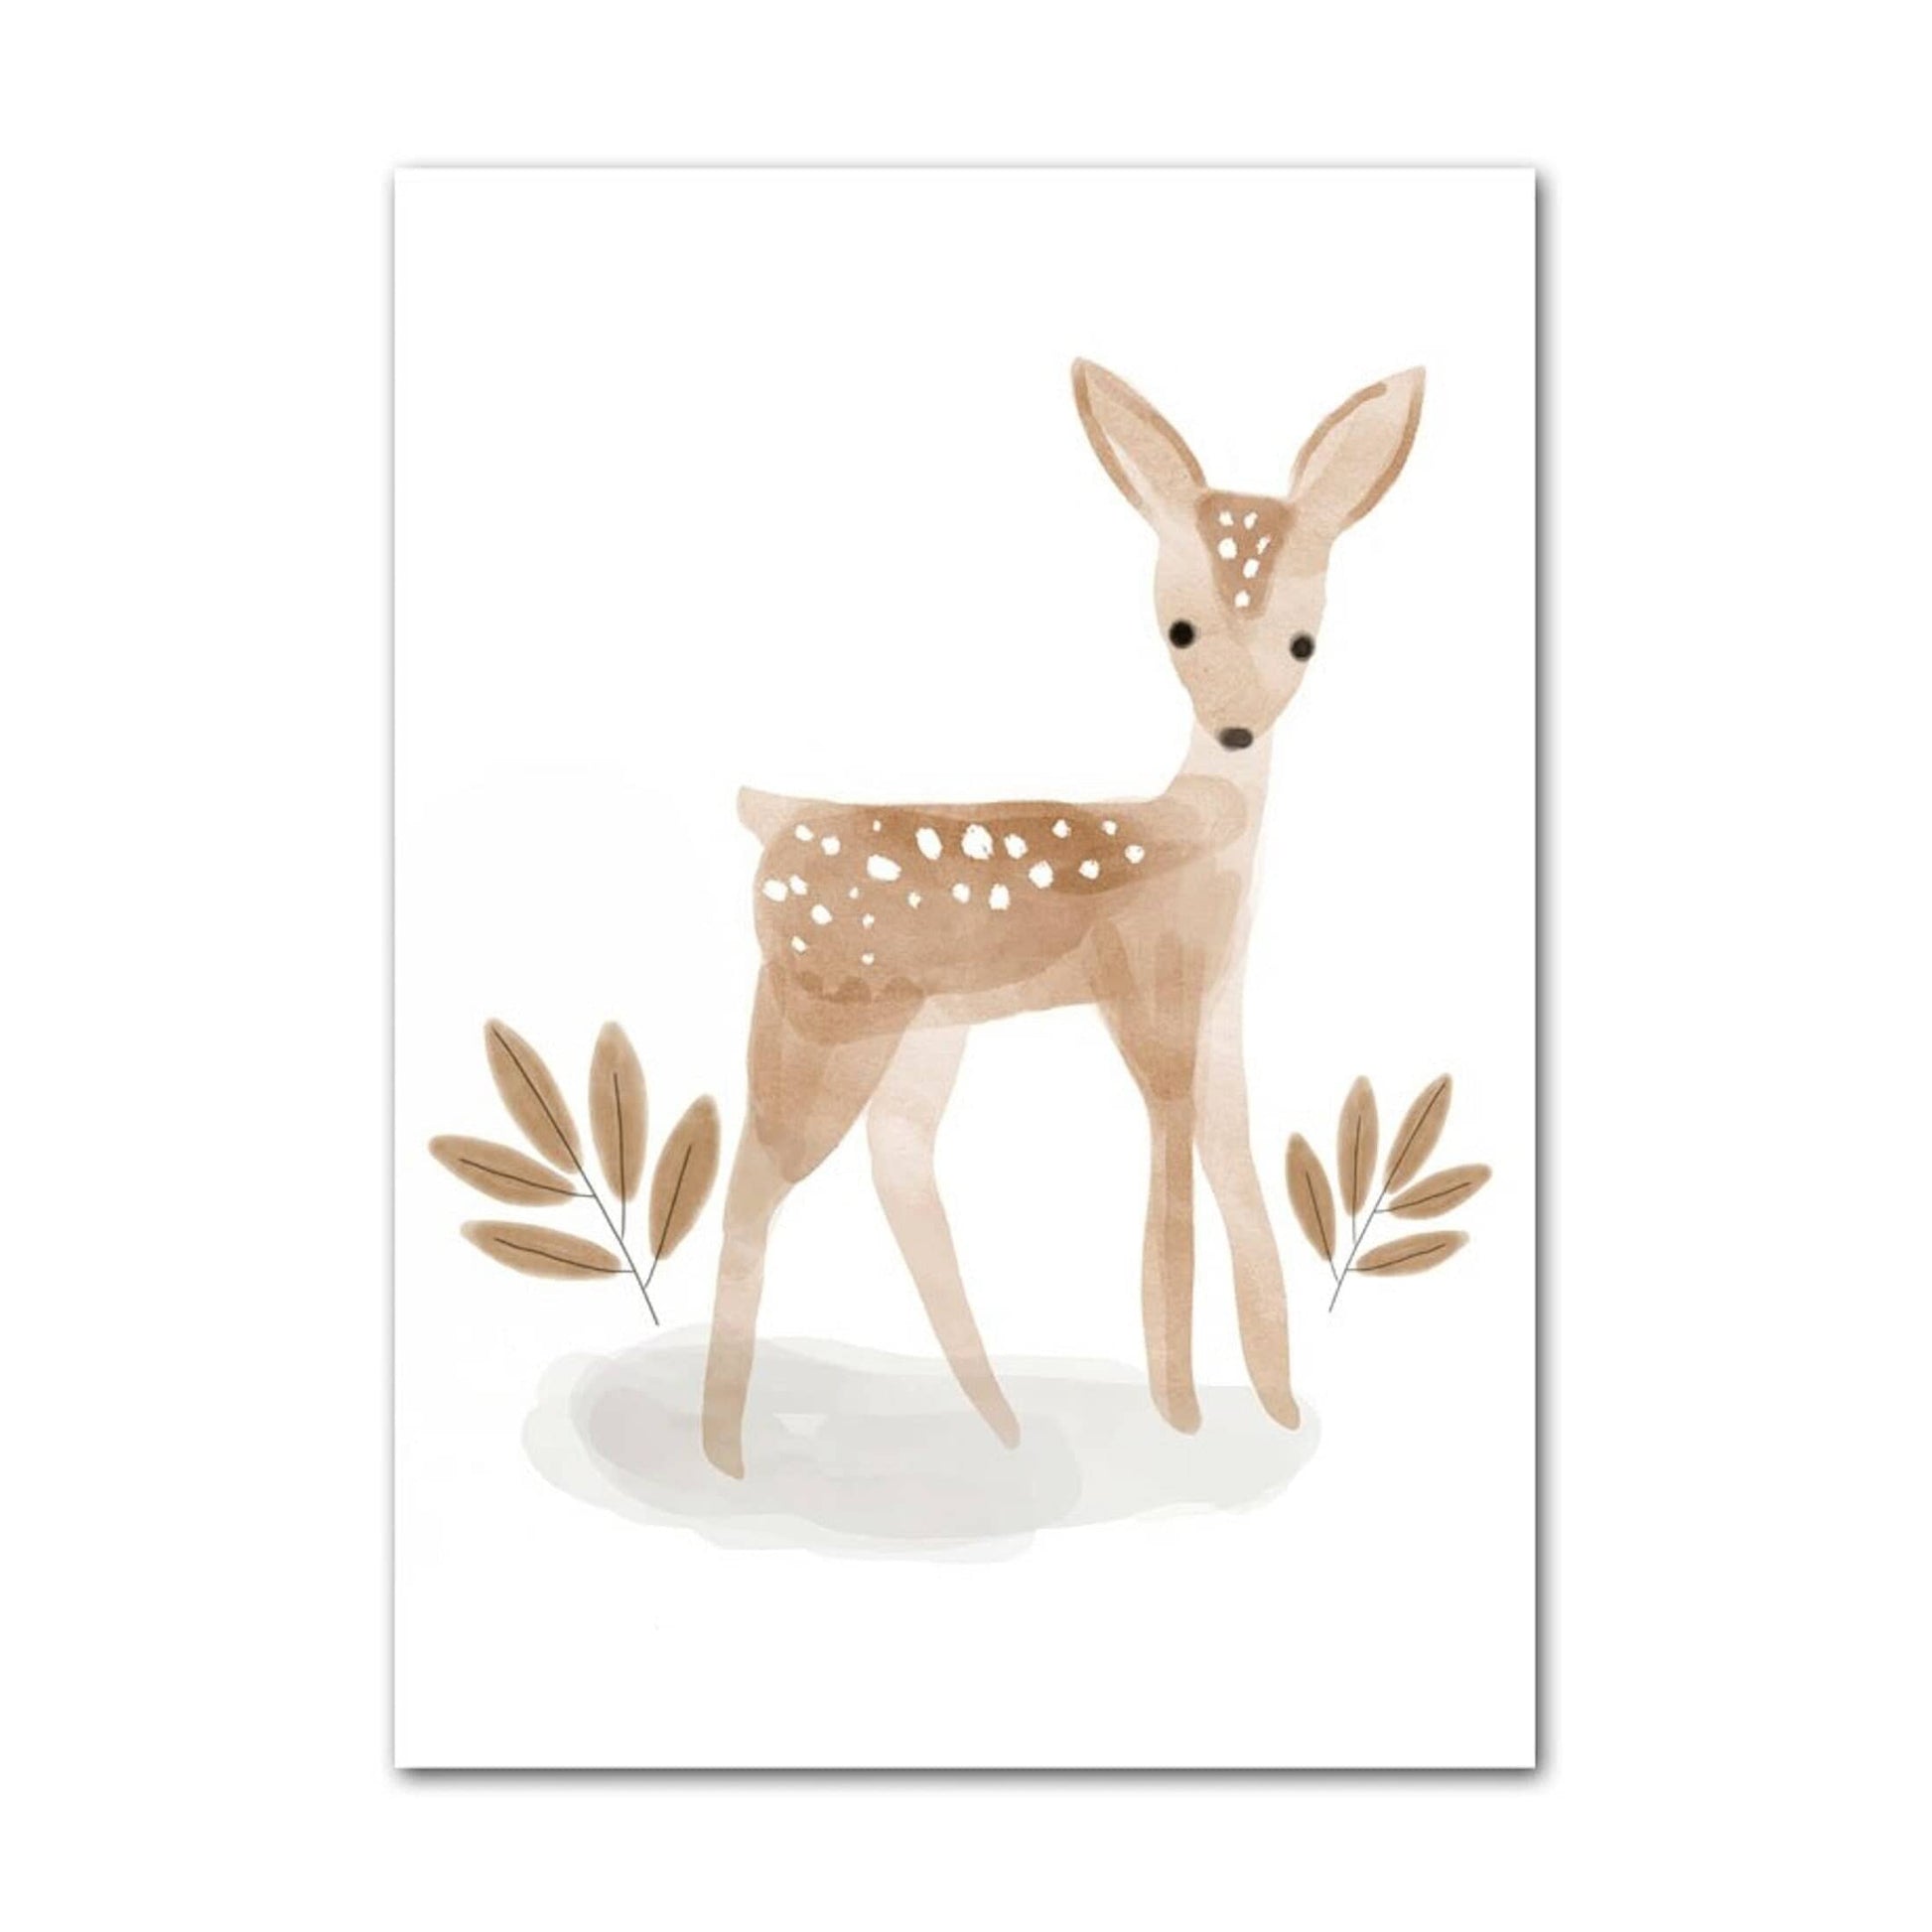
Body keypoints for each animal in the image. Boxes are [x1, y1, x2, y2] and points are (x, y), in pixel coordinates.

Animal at [700, 360, 1424, 1477]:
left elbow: (1237, 1167)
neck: (1205, 838)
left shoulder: (1220, 1005)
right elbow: (1171, 1182)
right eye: (1178, 628)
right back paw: (726, 1456)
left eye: (1305, 640)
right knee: (753, 1188)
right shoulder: (1148, 991)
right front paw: (1182, 1413)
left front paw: (1275, 1401)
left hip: (924, 1028)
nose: (1235, 727)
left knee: (896, 1163)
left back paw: (995, 1424)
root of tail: (768, 812)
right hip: (822, 1007)